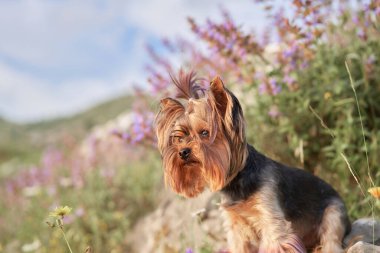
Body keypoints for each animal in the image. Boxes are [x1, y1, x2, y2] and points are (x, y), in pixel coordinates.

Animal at [154, 71, 350, 253]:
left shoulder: (270, 216)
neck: (237, 181)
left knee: (332, 238)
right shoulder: (235, 227)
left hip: (334, 212)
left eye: (204, 133)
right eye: (179, 138)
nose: (183, 152)